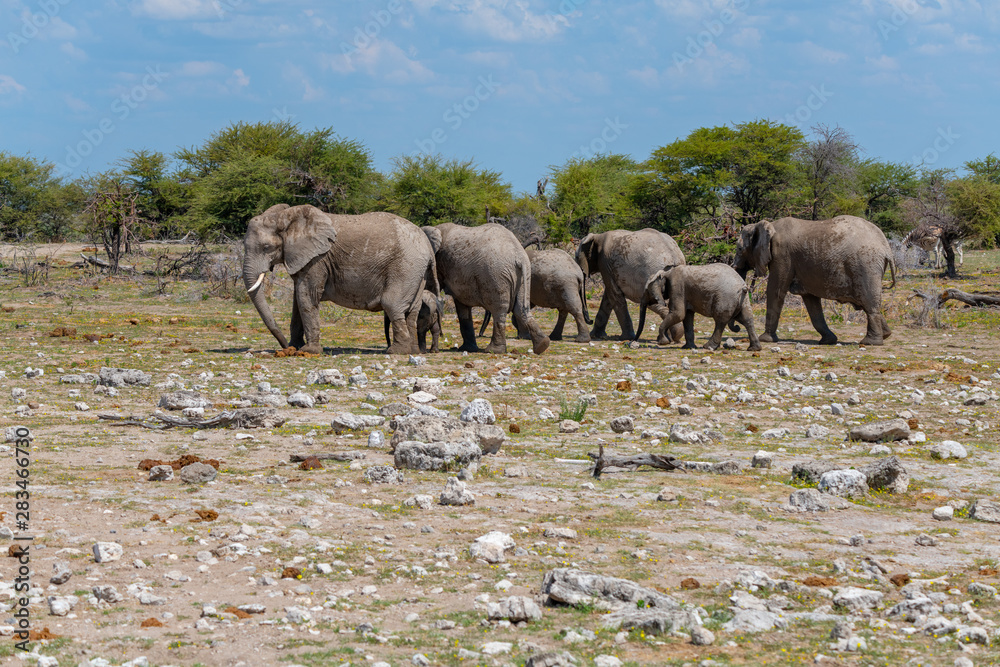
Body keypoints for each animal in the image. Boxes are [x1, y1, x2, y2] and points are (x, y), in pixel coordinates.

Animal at [243, 204, 437, 355]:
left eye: (266, 247)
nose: (283, 348)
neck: (285, 217)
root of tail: (427, 246)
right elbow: (298, 301)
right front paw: (296, 347)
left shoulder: (317, 259)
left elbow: (307, 296)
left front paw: (308, 351)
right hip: (417, 273)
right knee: (412, 310)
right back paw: (413, 351)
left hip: (405, 267)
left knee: (392, 304)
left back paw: (396, 351)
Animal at [423, 223, 549, 355]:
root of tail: (519, 257)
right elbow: (463, 306)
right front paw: (467, 349)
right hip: (523, 276)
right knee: (521, 308)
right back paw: (542, 345)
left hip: (496, 274)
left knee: (499, 310)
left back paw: (494, 350)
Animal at [733, 215, 896, 346]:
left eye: (739, 249)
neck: (769, 225)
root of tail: (886, 248)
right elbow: (811, 301)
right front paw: (828, 341)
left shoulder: (782, 255)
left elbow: (776, 291)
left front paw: (765, 339)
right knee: (865, 303)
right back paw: (886, 335)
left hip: (865, 266)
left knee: (868, 303)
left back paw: (870, 342)